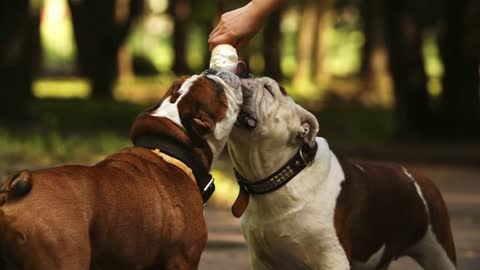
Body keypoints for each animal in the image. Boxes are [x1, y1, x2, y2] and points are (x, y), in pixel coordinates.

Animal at [227, 76, 456, 270]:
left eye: (269, 89)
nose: (243, 74)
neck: (281, 177)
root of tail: (418, 175)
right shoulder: (261, 260)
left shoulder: (331, 257)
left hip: (439, 252)